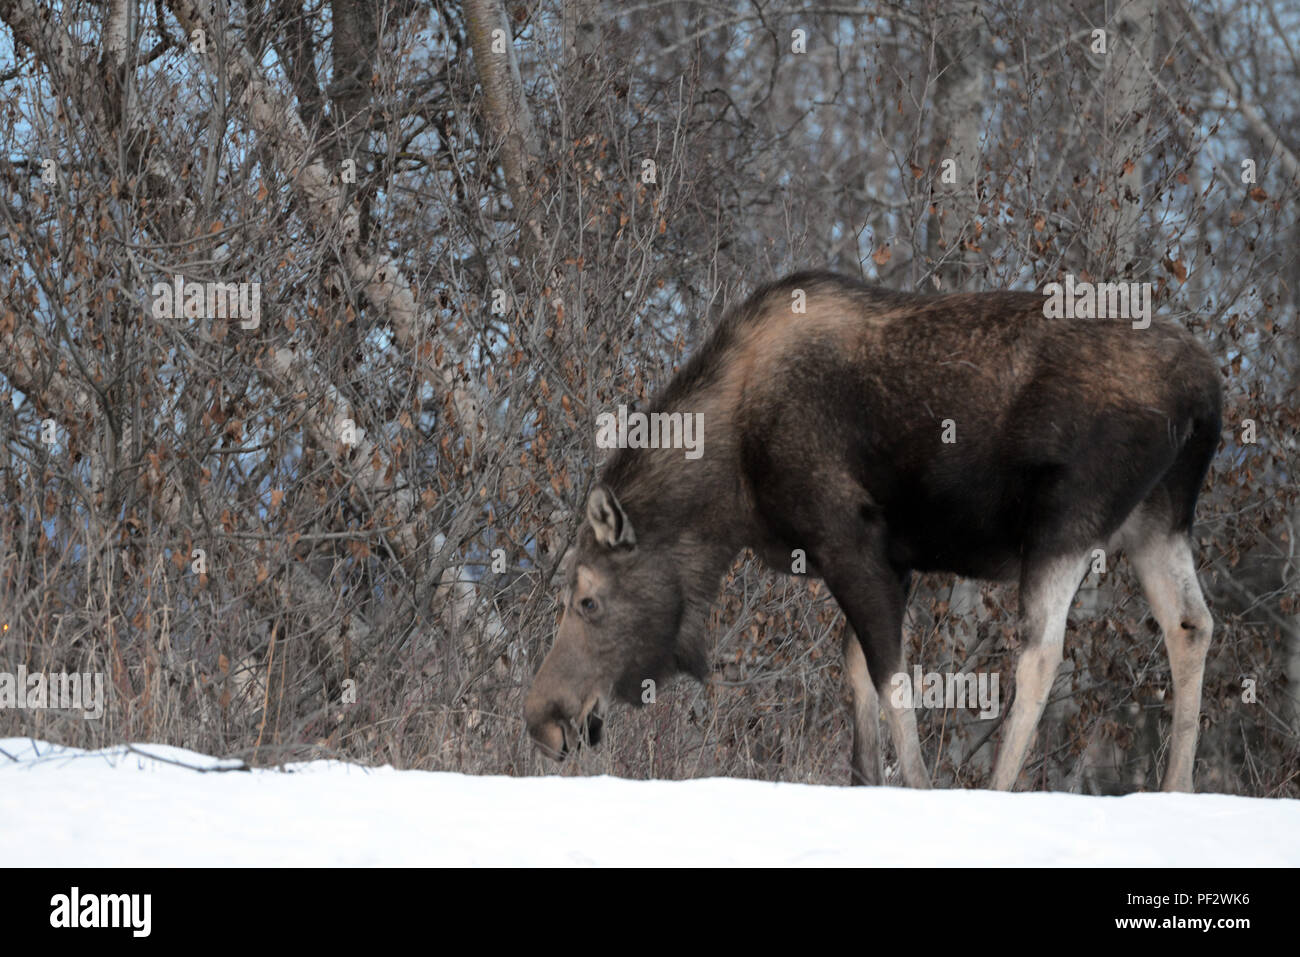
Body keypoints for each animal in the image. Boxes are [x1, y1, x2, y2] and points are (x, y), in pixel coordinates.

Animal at [522, 270, 1222, 790]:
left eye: (587, 599)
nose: (542, 717)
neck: (729, 485)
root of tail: (1205, 393)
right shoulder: (893, 558)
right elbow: (858, 675)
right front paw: (865, 781)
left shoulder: (848, 541)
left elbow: (892, 677)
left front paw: (916, 785)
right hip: (1159, 520)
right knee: (1191, 624)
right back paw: (1177, 787)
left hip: (1066, 521)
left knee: (1042, 651)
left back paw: (1000, 788)